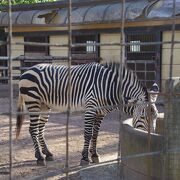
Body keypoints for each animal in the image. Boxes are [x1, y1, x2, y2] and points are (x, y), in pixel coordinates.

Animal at [15, 62, 159, 166]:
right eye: (142, 117)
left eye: (156, 116)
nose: (151, 142)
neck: (109, 88)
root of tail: (27, 70)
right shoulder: (90, 109)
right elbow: (88, 134)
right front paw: (84, 158)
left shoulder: (100, 113)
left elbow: (95, 134)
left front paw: (94, 155)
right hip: (33, 102)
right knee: (33, 129)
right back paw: (40, 157)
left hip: (44, 106)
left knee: (40, 129)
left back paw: (48, 153)